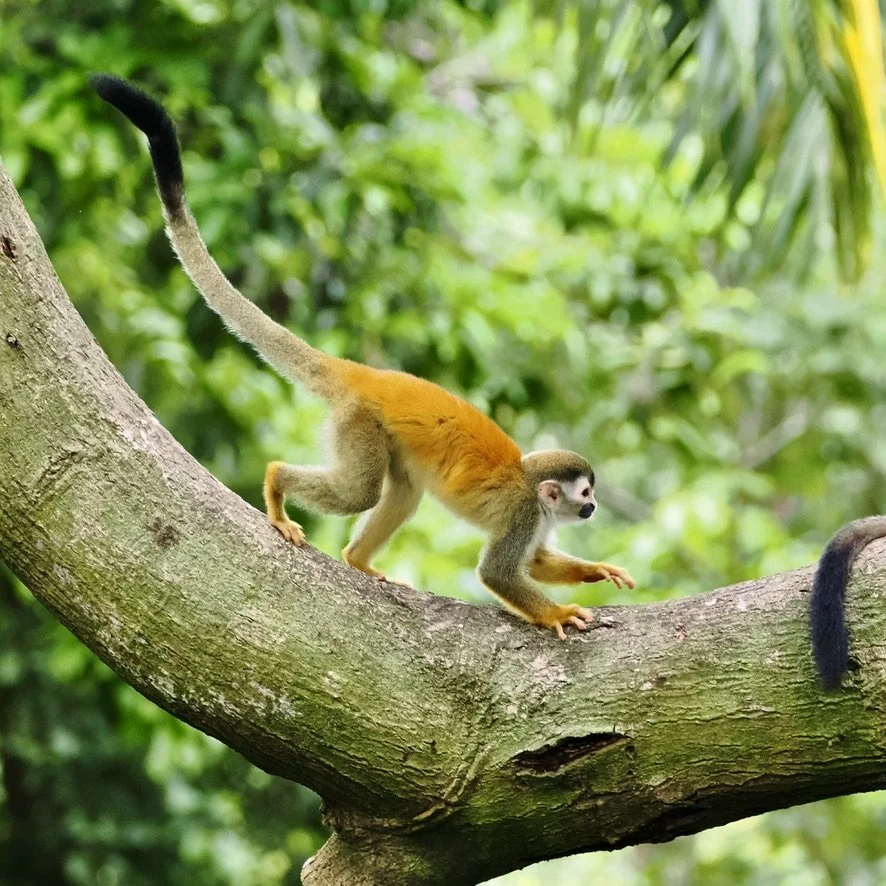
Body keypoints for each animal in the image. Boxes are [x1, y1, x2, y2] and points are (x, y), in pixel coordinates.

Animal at [89, 74, 636, 639]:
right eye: (584, 493)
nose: (593, 507)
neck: (532, 488)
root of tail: (369, 375)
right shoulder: (525, 513)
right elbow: (499, 573)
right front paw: (559, 613)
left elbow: (537, 562)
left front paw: (595, 570)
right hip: (359, 423)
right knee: (360, 493)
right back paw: (277, 484)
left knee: (400, 493)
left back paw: (357, 559)